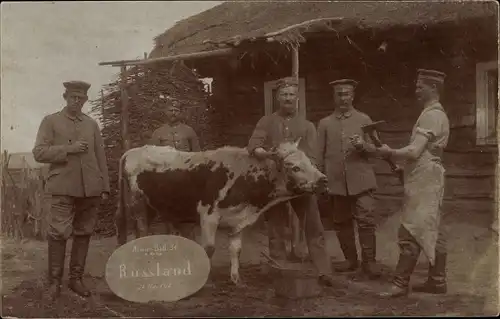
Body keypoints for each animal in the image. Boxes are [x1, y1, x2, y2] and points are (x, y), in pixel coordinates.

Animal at [116, 139, 328, 286]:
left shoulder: (238, 220)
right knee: (141, 233)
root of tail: (132, 151)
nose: (323, 180)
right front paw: (206, 279)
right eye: (295, 167)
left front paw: (236, 279)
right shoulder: (208, 216)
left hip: (150, 207)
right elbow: (209, 248)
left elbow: (236, 249)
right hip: (138, 206)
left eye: (309, 161)